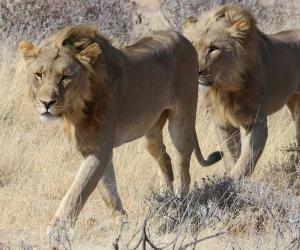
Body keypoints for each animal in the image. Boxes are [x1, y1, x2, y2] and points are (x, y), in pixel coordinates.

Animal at [18, 24, 220, 248]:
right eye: (38, 75)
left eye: (65, 77)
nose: (46, 103)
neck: (76, 108)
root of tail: (182, 38)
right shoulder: (91, 147)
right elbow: (107, 189)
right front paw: (121, 223)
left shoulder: (100, 149)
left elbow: (79, 189)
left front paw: (57, 233)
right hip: (151, 131)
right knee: (164, 157)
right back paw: (166, 200)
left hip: (182, 121)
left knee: (183, 165)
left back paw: (181, 205)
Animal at [183, 5, 300, 180]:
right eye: (192, 46)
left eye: (214, 48)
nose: (195, 71)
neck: (225, 87)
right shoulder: (223, 123)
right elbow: (231, 158)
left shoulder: (256, 122)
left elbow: (244, 162)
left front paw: (230, 183)